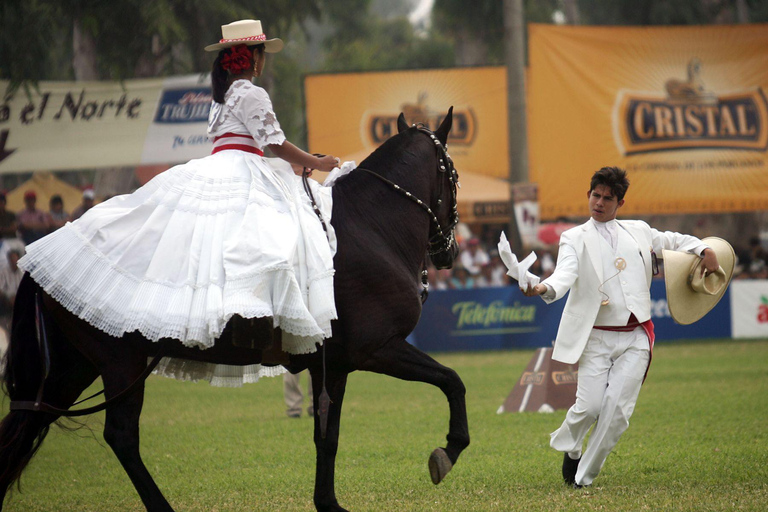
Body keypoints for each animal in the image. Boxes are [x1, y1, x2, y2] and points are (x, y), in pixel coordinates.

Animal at [0, 109, 468, 512]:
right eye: (455, 175)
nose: (449, 252)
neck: (372, 225)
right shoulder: (377, 349)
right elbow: (452, 381)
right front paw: (448, 449)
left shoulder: (332, 365)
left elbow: (327, 436)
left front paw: (328, 504)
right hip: (120, 362)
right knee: (121, 435)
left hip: (72, 368)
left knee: (23, 427)